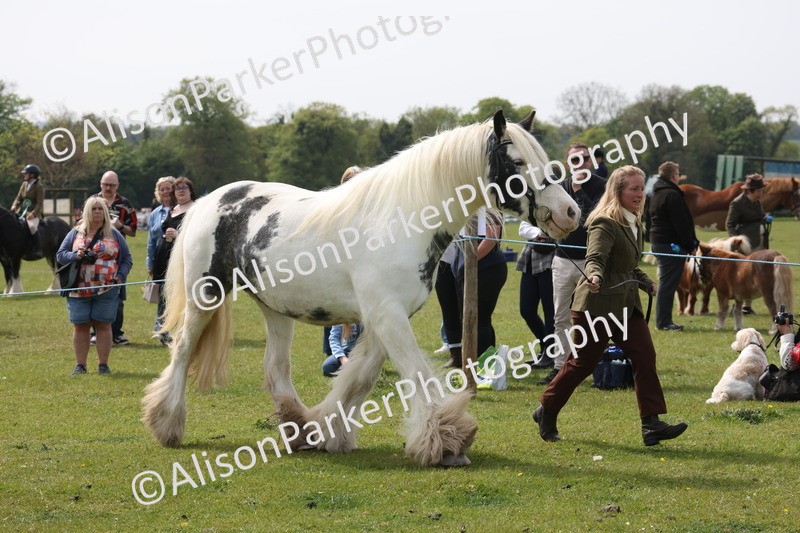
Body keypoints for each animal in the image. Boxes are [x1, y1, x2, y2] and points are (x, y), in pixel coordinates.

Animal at [141, 110, 581, 467]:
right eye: (518, 162)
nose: (570, 212)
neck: (404, 219)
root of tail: (209, 201)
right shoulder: (387, 316)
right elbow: (417, 373)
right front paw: (446, 442)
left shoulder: (385, 318)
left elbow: (358, 378)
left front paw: (328, 431)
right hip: (204, 298)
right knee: (182, 352)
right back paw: (167, 424)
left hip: (275, 309)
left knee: (276, 368)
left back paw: (299, 428)